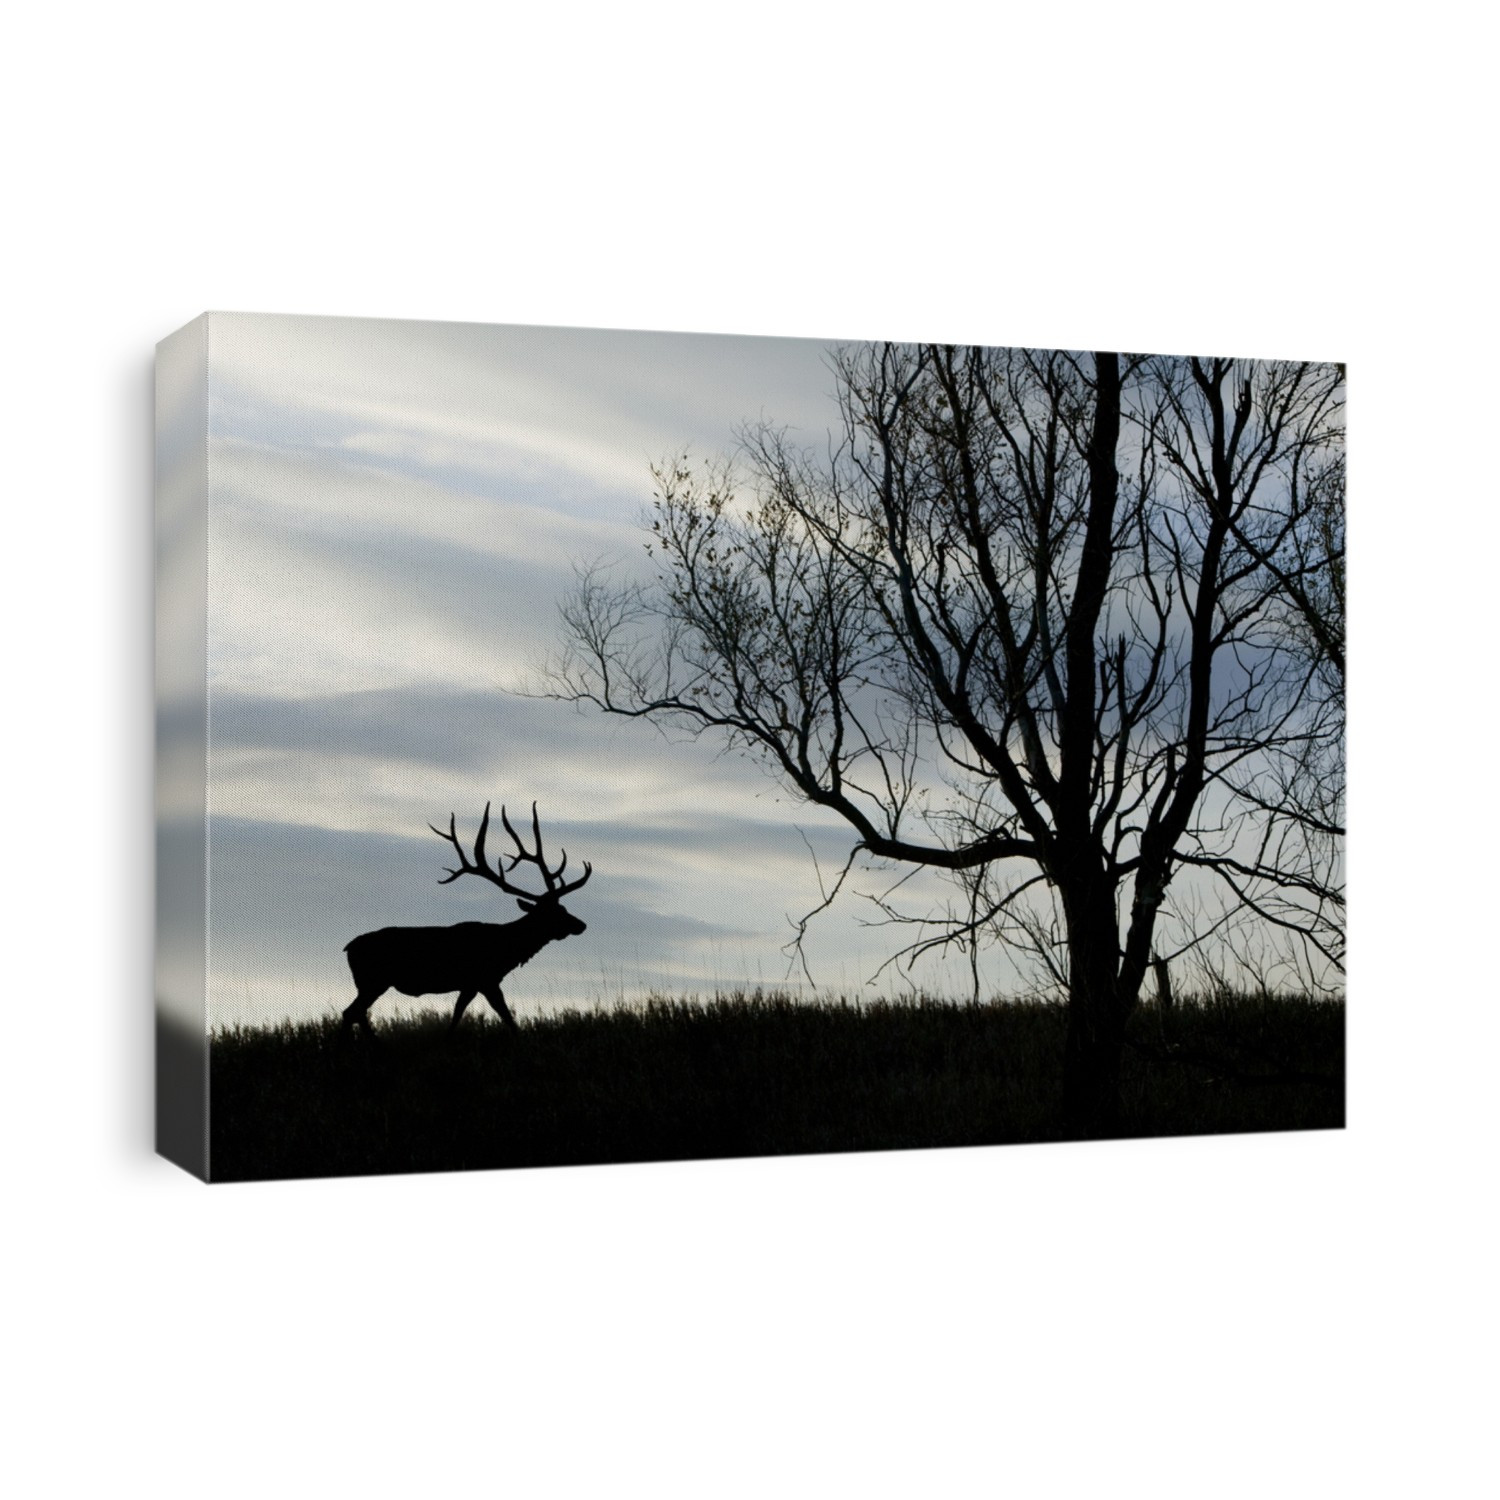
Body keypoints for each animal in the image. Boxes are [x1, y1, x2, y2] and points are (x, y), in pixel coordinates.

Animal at [340, 802, 592, 1039]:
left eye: (563, 907)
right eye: (553, 913)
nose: (581, 925)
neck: (505, 951)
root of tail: (348, 947)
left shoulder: (474, 984)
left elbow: (461, 1014)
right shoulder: (484, 979)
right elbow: (502, 1016)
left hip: (370, 983)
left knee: (356, 1013)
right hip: (373, 980)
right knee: (350, 1012)